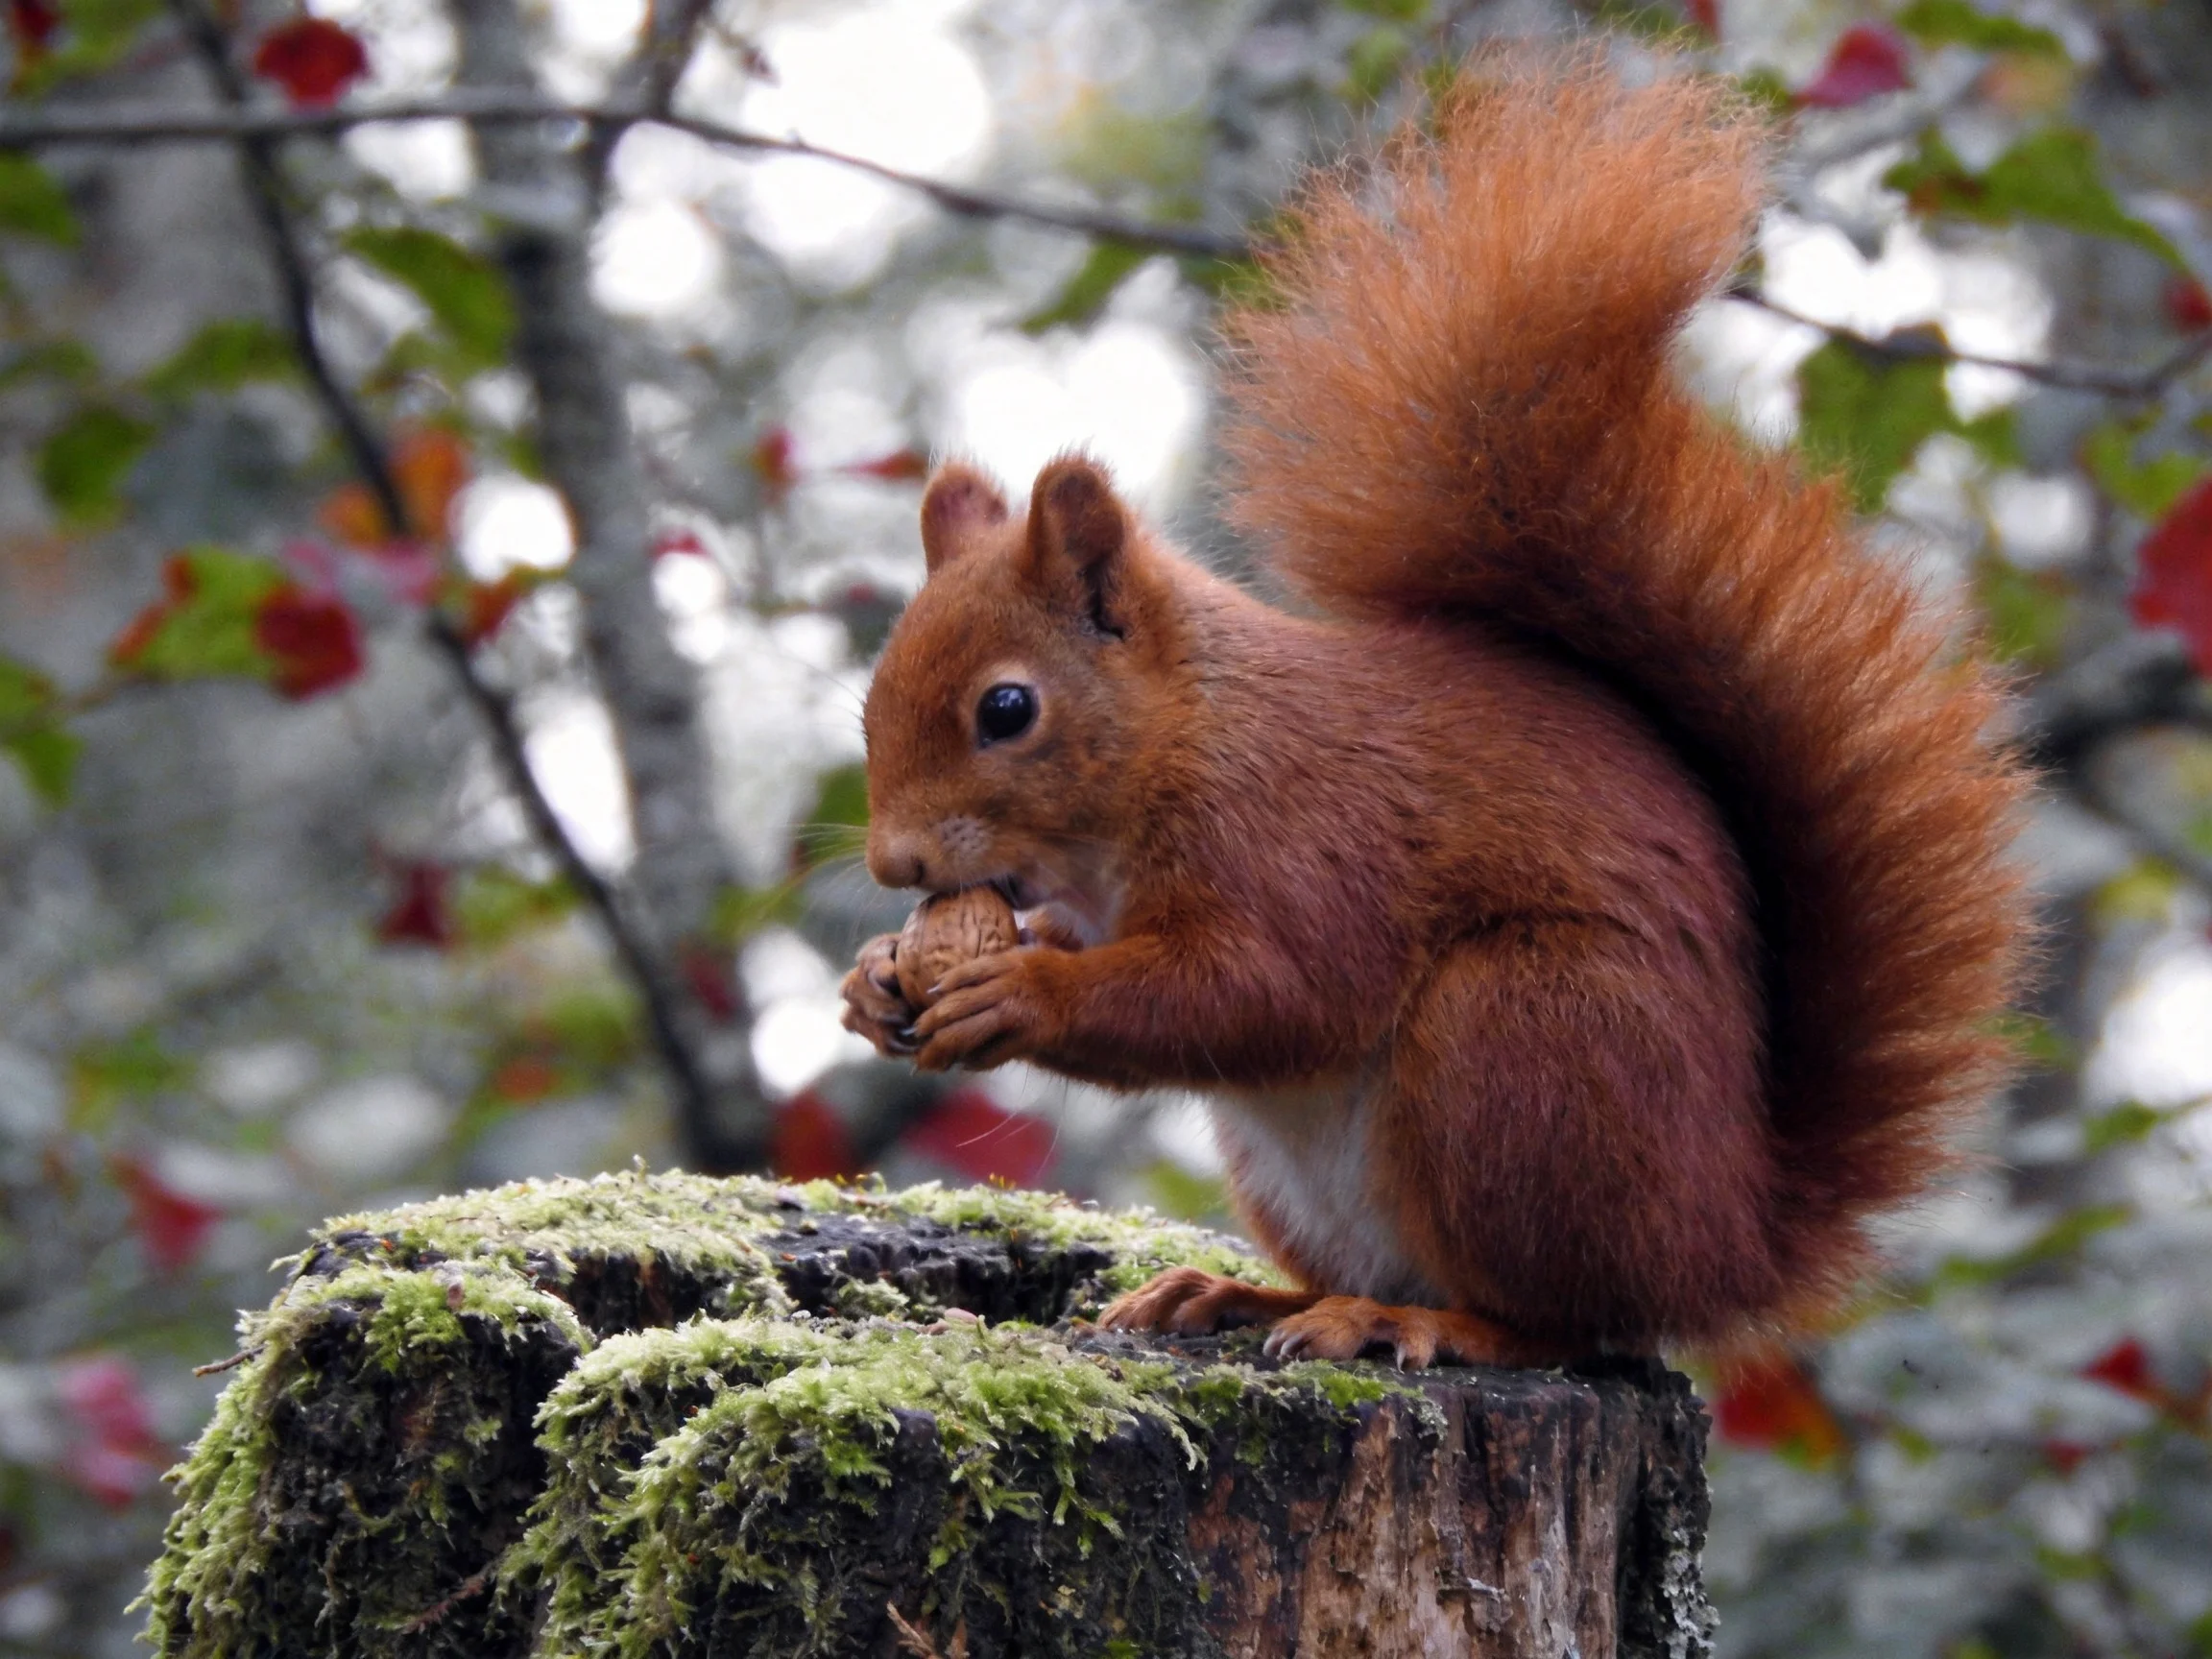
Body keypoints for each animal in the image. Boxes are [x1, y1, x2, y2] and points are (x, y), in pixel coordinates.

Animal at [838, 53, 2031, 1368]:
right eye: (870, 703)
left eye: (1008, 708)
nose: (897, 865)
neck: (1178, 743)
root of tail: (1729, 1242)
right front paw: (873, 980)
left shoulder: (1301, 838)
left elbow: (1264, 991)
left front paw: (1021, 994)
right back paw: (1242, 1295)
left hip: (1521, 1043)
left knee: (1564, 1321)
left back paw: (1417, 1319)